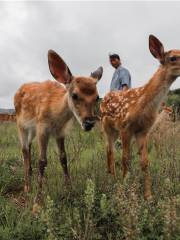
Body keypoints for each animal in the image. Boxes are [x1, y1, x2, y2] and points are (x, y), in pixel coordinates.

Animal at [14, 49, 102, 201]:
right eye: (74, 95)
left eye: (97, 97)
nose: (89, 122)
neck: (56, 117)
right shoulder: (42, 128)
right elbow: (42, 161)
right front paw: (38, 200)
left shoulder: (60, 132)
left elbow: (63, 158)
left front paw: (69, 189)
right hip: (21, 124)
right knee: (24, 149)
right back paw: (27, 186)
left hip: (32, 129)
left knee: (29, 146)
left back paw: (30, 173)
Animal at [100, 33, 180, 199]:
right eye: (173, 58)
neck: (142, 104)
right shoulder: (125, 127)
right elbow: (126, 159)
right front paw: (125, 188)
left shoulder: (143, 131)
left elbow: (145, 162)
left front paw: (148, 195)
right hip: (107, 127)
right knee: (110, 151)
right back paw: (112, 179)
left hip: (115, 130)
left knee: (109, 150)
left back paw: (112, 176)